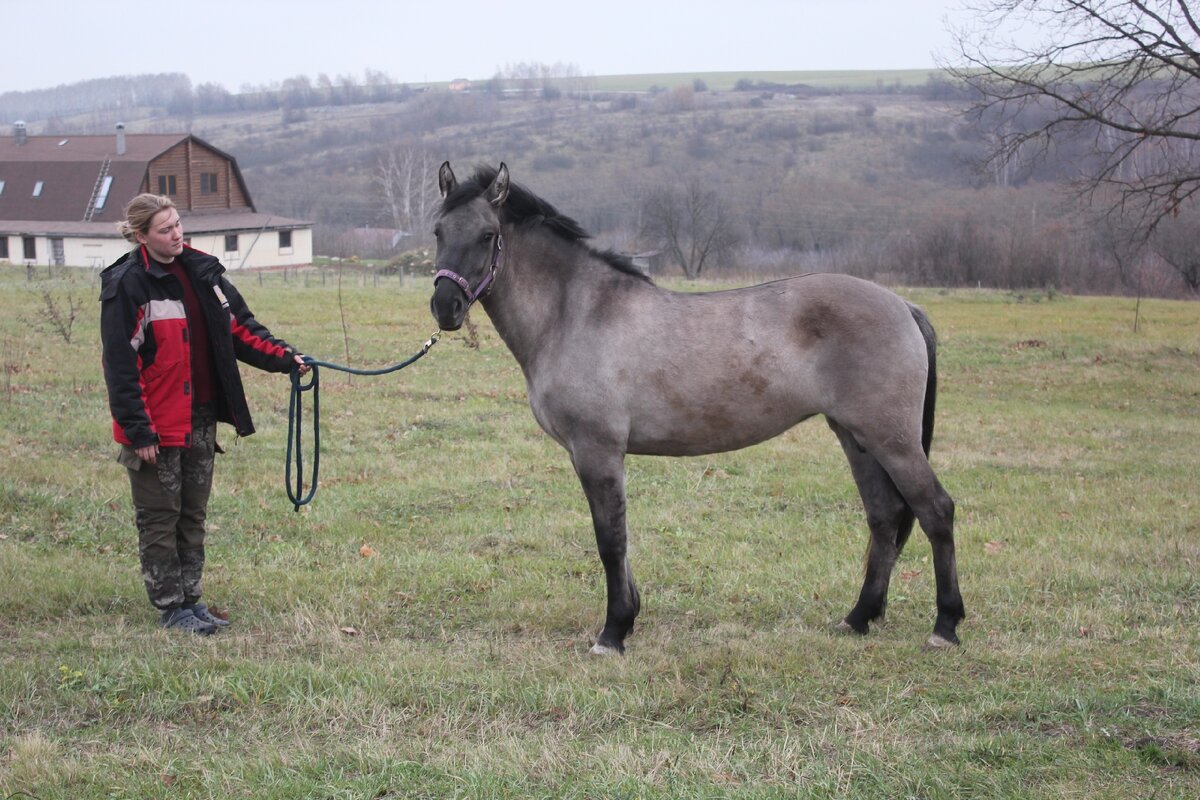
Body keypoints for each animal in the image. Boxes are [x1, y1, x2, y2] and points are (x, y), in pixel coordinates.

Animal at [427, 163, 960, 657]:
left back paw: (946, 626)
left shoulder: (597, 450)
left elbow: (610, 540)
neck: (575, 313)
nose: (445, 306)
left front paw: (612, 633)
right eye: (438, 231)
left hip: (891, 440)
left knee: (935, 510)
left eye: (488, 235)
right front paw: (630, 617)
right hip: (857, 438)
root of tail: (904, 305)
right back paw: (859, 617)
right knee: (885, 517)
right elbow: (621, 539)